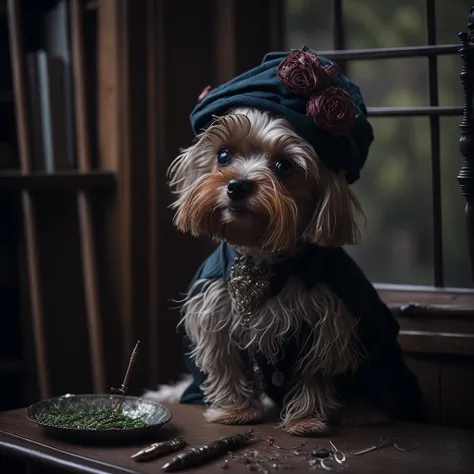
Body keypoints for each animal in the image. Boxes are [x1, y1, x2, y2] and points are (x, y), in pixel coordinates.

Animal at [146, 49, 424, 436]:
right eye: (223, 155)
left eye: (284, 166)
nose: (237, 186)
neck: (259, 259)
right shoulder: (213, 311)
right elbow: (223, 363)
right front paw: (234, 411)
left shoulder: (327, 321)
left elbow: (315, 373)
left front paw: (307, 419)